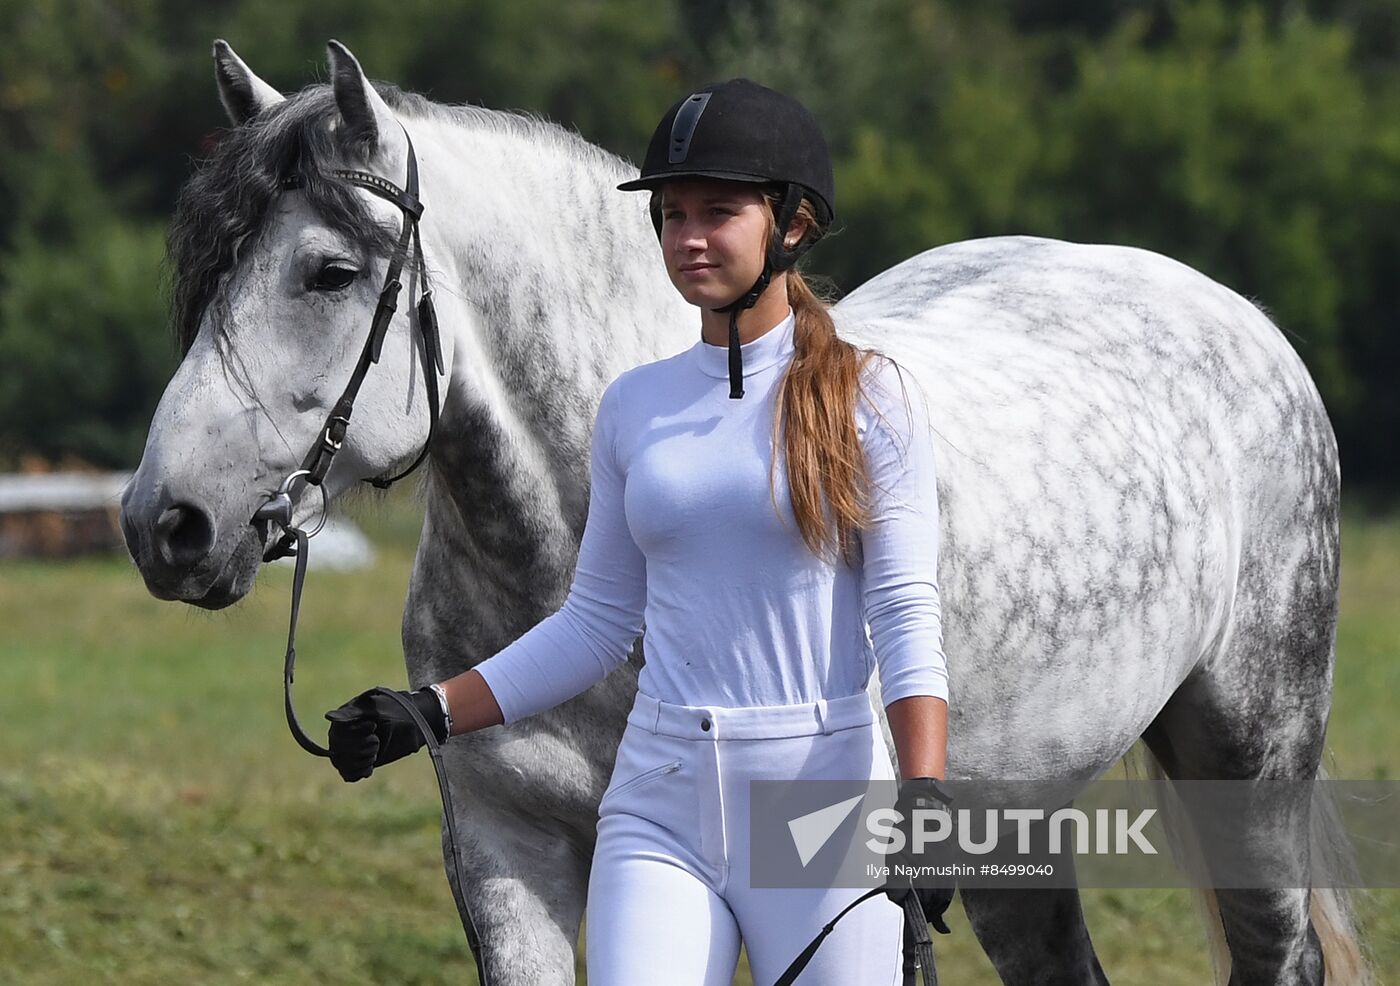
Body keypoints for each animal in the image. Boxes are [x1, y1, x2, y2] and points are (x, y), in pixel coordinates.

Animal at [119, 40, 1369, 986]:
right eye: (207, 268)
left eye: (328, 271)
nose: (163, 524)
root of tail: (1231, 315)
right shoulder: (504, 846)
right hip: (1009, 812)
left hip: (1248, 761)